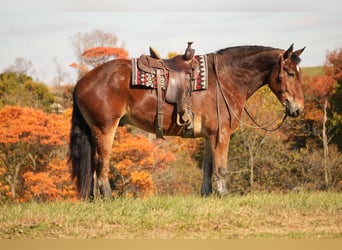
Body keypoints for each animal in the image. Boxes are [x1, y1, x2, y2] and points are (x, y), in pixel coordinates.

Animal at [69, 43, 304, 199]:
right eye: (290, 73)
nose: (298, 109)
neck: (225, 79)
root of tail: (81, 82)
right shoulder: (222, 134)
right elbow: (221, 167)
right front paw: (224, 195)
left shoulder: (210, 136)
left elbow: (207, 167)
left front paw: (207, 194)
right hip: (105, 129)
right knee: (101, 162)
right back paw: (108, 197)